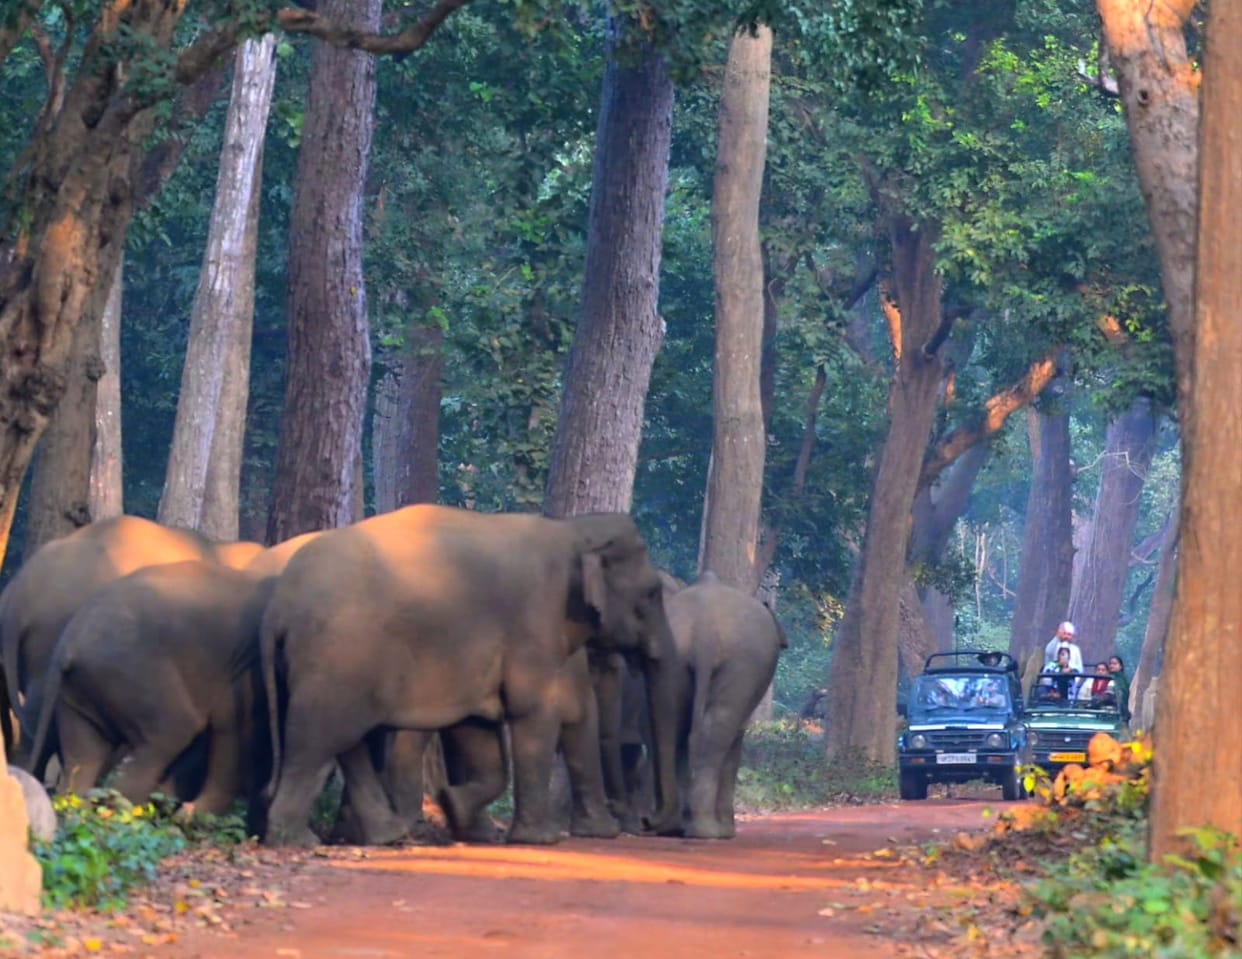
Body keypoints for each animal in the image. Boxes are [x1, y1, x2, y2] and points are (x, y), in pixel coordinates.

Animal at [26, 560, 279, 829]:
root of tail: (68, 643)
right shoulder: (246, 668)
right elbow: (231, 727)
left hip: (78, 693)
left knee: (83, 757)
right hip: (133, 675)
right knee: (172, 732)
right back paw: (127, 817)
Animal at [260, 504, 681, 848]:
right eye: (651, 594)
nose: (650, 823)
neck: (573, 531)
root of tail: (279, 605)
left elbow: (479, 730)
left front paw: (454, 805)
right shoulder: (535, 619)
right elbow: (533, 713)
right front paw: (539, 840)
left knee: (345, 741)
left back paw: (386, 837)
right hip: (338, 657)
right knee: (315, 742)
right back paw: (298, 840)